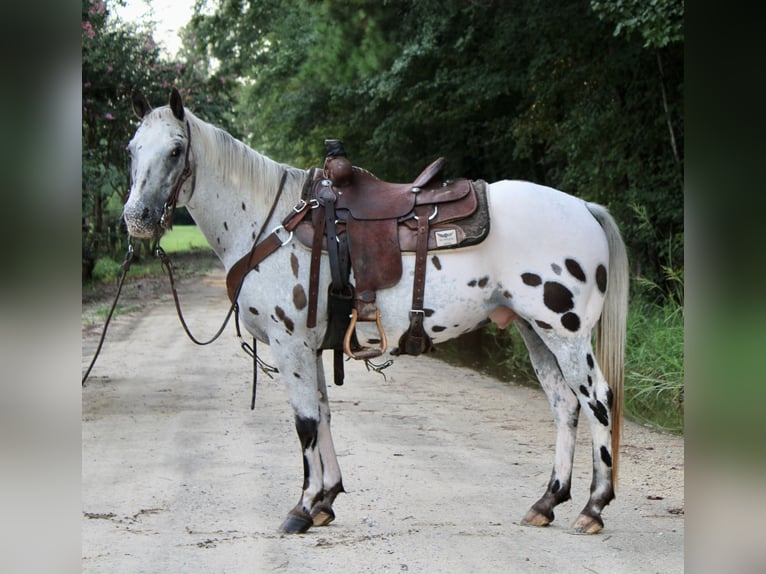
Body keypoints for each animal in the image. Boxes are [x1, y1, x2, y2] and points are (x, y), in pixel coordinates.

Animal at [124, 88, 632, 536]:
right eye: (132, 149)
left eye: (176, 150)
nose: (137, 218)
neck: (270, 223)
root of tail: (583, 207)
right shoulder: (311, 346)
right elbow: (323, 414)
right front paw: (326, 499)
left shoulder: (291, 344)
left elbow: (305, 422)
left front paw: (302, 508)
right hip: (533, 330)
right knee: (564, 403)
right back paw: (547, 501)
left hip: (567, 333)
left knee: (598, 400)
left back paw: (593, 507)